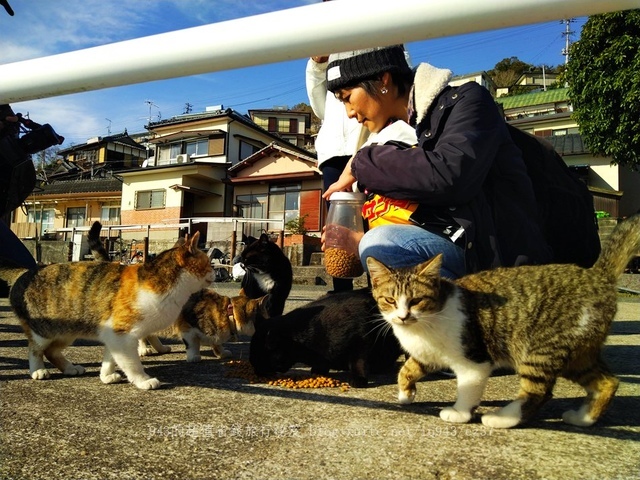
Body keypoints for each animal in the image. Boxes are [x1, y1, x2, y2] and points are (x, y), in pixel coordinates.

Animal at [0, 232, 215, 390]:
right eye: (209, 262)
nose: (214, 272)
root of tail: (25, 272)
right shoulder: (122, 334)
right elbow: (131, 362)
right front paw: (143, 380)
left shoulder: (113, 335)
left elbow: (112, 357)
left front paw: (106, 375)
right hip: (44, 330)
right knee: (35, 349)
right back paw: (38, 370)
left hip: (66, 331)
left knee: (51, 351)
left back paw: (70, 368)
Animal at [249, 288, 402, 386]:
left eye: (260, 360)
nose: (257, 372)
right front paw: (319, 370)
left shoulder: (361, 340)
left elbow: (359, 362)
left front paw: (359, 379)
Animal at [364, 214, 640, 428]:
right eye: (390, 300)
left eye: (416, 300)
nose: (403, 316)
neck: (426, 323)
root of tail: (597, 276)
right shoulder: (426, 353)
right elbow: (407, 368)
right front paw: (405, 393)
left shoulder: (474, 360)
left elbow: (468, 387)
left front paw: (460, 412)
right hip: (577, 354)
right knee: (607, 382)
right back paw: (584, 418)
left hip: (542, 347)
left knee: (539, 391)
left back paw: (502, 418)